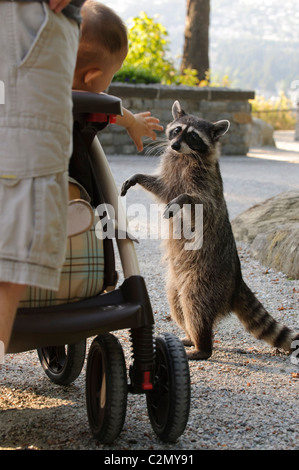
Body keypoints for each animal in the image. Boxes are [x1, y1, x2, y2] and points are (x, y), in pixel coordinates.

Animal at [121, 101, 299, 360]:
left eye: (193, 136)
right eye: (177, 130)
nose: (174, 145)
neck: (184, 156)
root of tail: (236, 281)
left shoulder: (206, 183)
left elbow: (203, 206)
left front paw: (182, 199)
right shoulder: (172, 172)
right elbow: (163, 189)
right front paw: (139, 177)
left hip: (205, 281)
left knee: (195, 307)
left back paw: (202, 347)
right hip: (177, 282)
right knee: (177, 304)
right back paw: (189, 336)